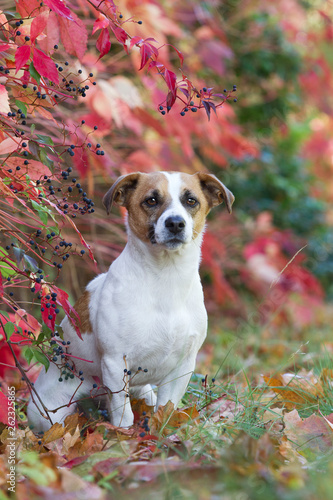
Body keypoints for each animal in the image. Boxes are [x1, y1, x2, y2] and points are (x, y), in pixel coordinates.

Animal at [27, 171, 233, 430]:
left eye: (191, 200)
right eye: (151, 200)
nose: (175, 223)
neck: (167, 278)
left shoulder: (182, 367)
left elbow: (166, 410)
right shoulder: (115, 364)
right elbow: (124, 416)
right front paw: (122, 438)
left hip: (143, 391)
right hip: (50, 414)